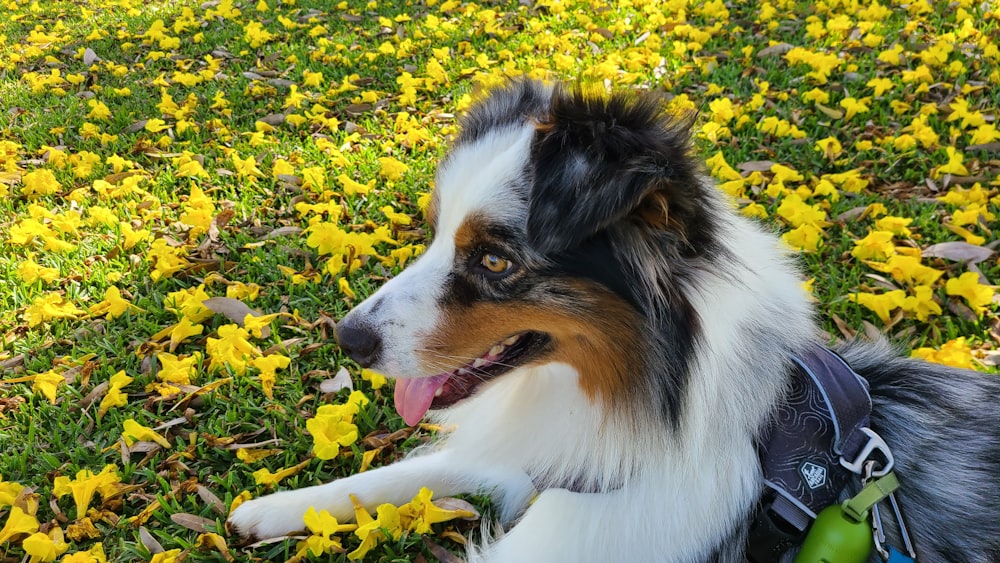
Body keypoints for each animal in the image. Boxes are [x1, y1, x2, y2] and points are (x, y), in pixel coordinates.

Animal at [230, 80, 1000, 563]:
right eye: (435, 233)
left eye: (495, 260)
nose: (349, 338)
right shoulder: (534, 453)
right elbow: (399, 473)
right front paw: (277, 508)